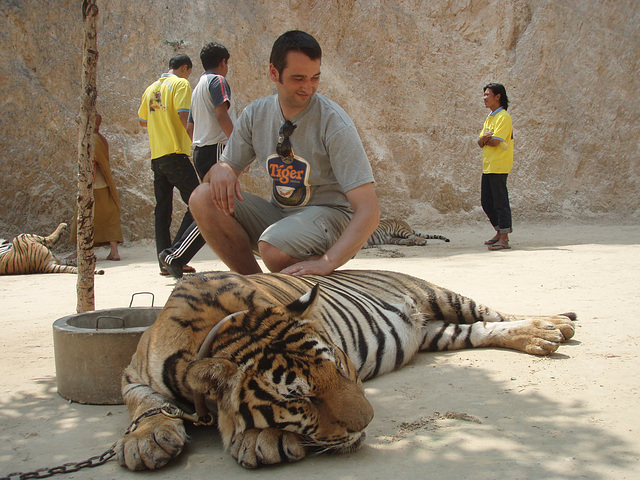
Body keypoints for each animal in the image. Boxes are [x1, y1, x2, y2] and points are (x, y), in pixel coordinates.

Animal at [115, 270, 576, 472]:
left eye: (340, 366)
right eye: (298, 398)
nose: (368, 422)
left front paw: (260, 440)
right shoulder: (132, 374)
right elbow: (143, 403)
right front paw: (146, 439)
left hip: (442, 295)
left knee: (496, 312)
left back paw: (557, 324)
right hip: (441, 332)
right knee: (481, 330)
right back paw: (543, 336)